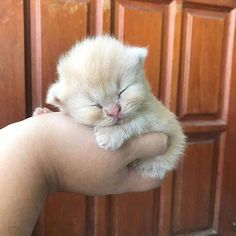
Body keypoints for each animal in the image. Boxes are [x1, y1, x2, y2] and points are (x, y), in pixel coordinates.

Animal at [44, 35, 186, 179]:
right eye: (95, 104)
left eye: (122, 91)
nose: (114, 111)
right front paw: (42, 111)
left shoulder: (158, 119)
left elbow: (136, 121)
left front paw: (110, 134)